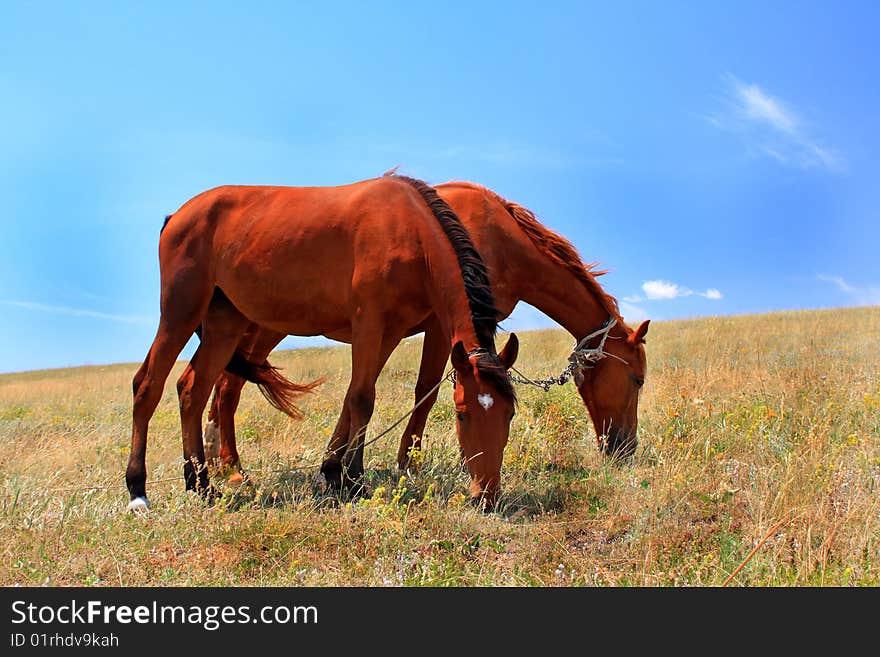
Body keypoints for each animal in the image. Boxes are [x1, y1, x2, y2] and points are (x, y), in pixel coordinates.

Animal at [127, 174, 520, 512]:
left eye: (509, 414)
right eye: (462, 415)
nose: (486, 496)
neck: (409, 230)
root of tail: (178, 215)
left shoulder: (389, 332)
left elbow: (354, 395)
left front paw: (336, 473)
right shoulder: (368, 322)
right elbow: (362, 399)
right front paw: (355, 480)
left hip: (224, 323)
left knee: (191, 389)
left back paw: (201, 484)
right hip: (181, 310)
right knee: (147, 386)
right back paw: (138, 491)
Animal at [205, 179, 648, 486]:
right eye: (637, 379)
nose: (626, 449)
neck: (496, 236)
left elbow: (361, 391)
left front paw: (337, 463)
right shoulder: (438, 326)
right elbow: (426, 390)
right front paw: (407, 461)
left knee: (223, 385)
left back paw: (216, 457)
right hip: (264, 328)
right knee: (227, 387)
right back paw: (230, 466)